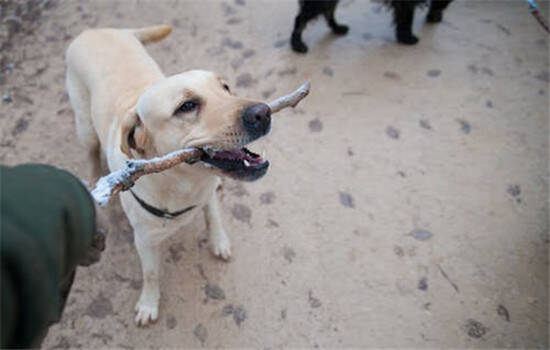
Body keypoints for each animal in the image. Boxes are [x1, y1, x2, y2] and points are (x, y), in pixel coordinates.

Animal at [67, 25, 272, 328]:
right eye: (187, 106)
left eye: (225, 87)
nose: (264, 113)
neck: (183, 183)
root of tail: (95, 29)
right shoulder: (144, 240)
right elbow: (151, 274)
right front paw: (148, 303)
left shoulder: (207, 193)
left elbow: (213, 216)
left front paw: (219, 241)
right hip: (84, 126)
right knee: (92, 153)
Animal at [292, 0, 454, 53]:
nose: (436, 18)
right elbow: (406, 17)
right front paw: (407, 38)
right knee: (301, 18)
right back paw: (297, 43)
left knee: (328, 11)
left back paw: (338, 28)